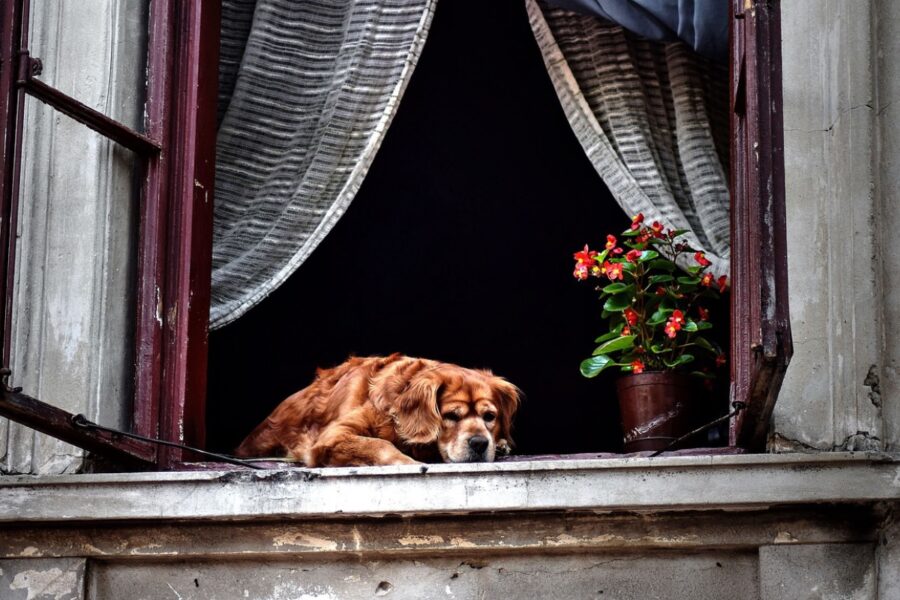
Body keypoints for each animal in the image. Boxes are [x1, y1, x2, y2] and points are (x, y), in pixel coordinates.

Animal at [234, 354, 520, 466]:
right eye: (451, 416)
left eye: (489, 417)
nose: (480, 443)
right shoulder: (332, 437)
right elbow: (379, 444)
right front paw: (407, 462)